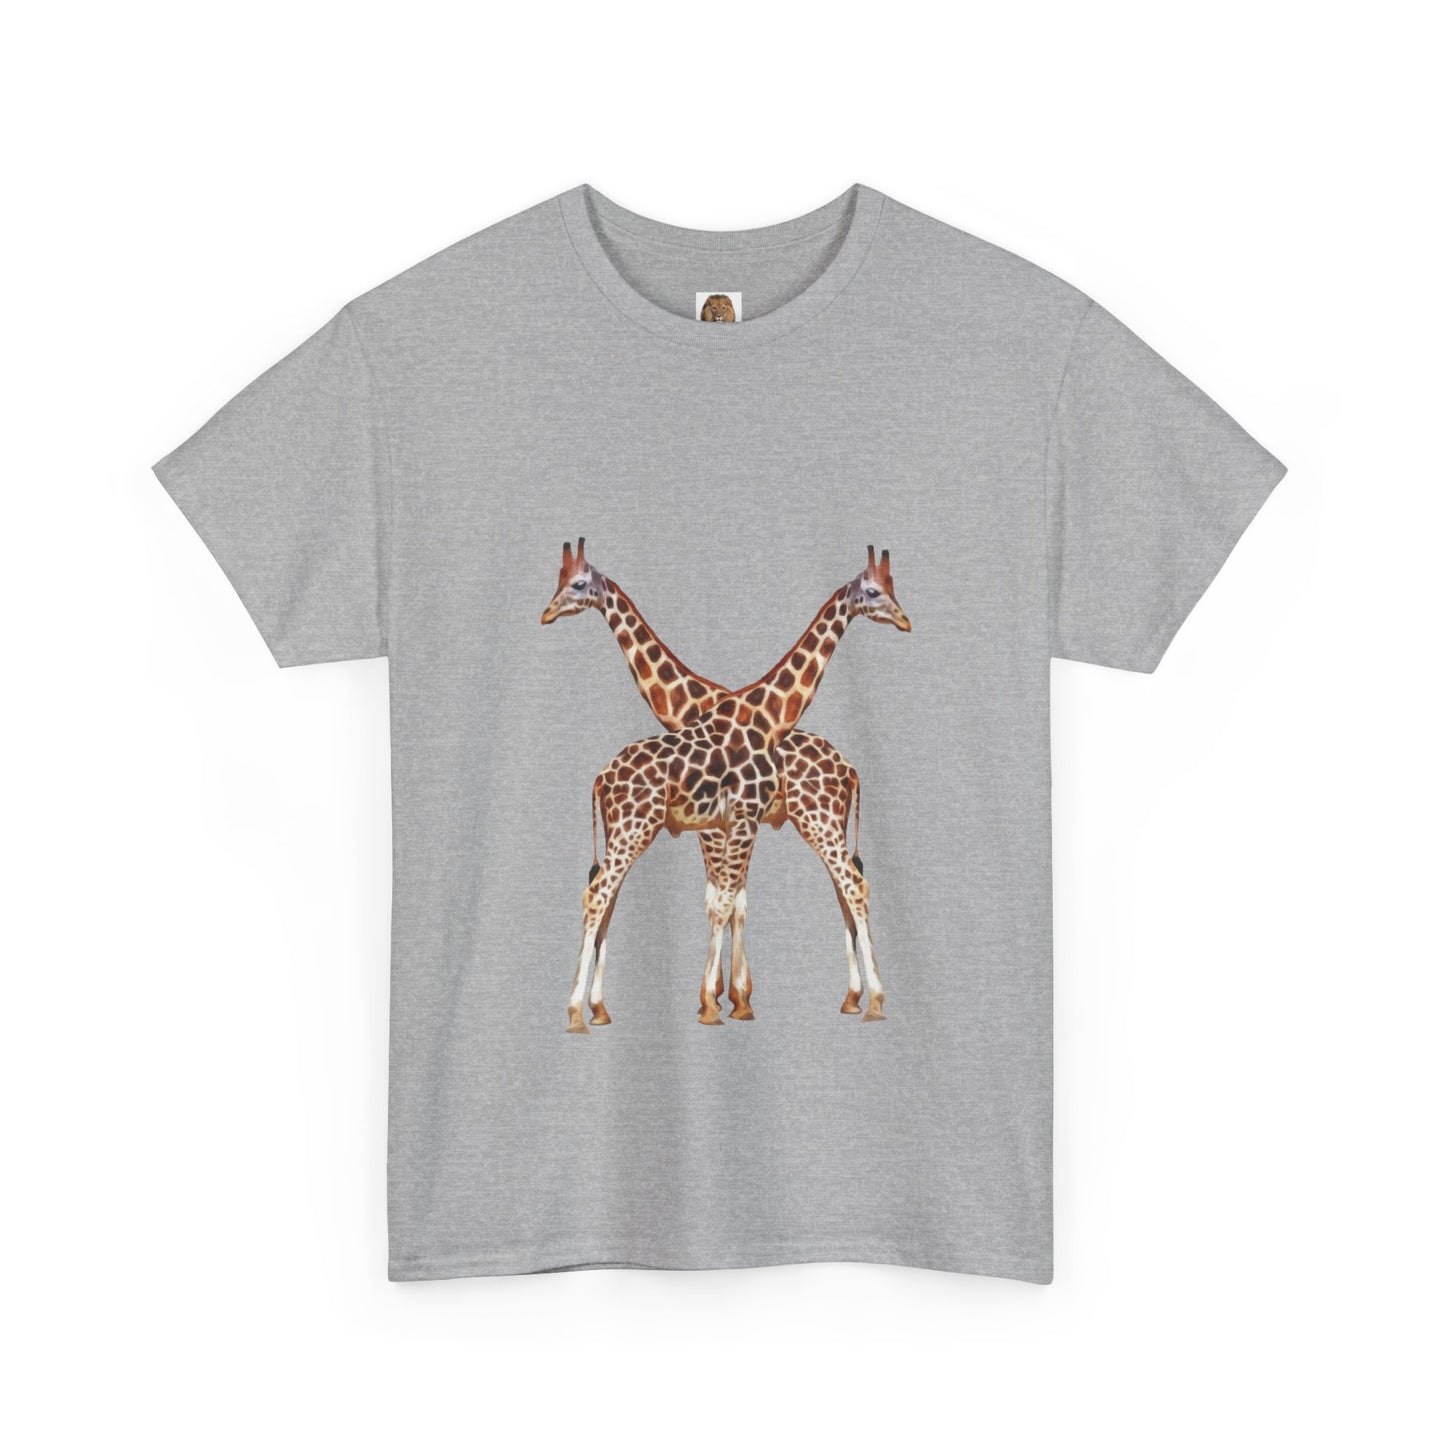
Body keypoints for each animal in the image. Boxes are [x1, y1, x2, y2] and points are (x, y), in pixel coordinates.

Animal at [552, 546, 910, 1033]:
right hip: (640, 830)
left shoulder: (728, 823)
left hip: (815, 822)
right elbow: (724, 901)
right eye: (875, 591)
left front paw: (727, 1000)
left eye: (576, 584)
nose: (905, 620)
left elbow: (727, 902)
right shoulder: (722, 824)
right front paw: (724, 1000)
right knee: (600, 896)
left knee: (851, 887)